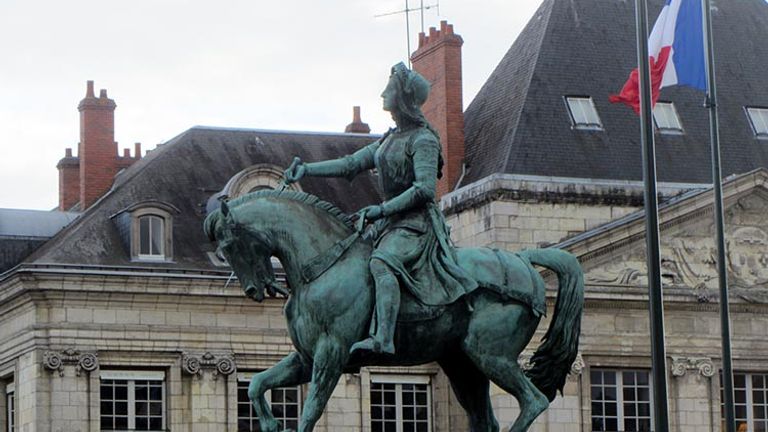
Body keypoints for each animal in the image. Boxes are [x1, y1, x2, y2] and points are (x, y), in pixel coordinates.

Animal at [204, 192, 584, 432]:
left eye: (230, 246)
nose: (254, 292)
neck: (323, 264)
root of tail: (523, 259)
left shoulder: (332, 353)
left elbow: (310, 411)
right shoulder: (306, 358)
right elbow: (256, 384)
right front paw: (270, 423)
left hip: (491, 355)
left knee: (534, 401)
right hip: (463, 365)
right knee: (486, 419)